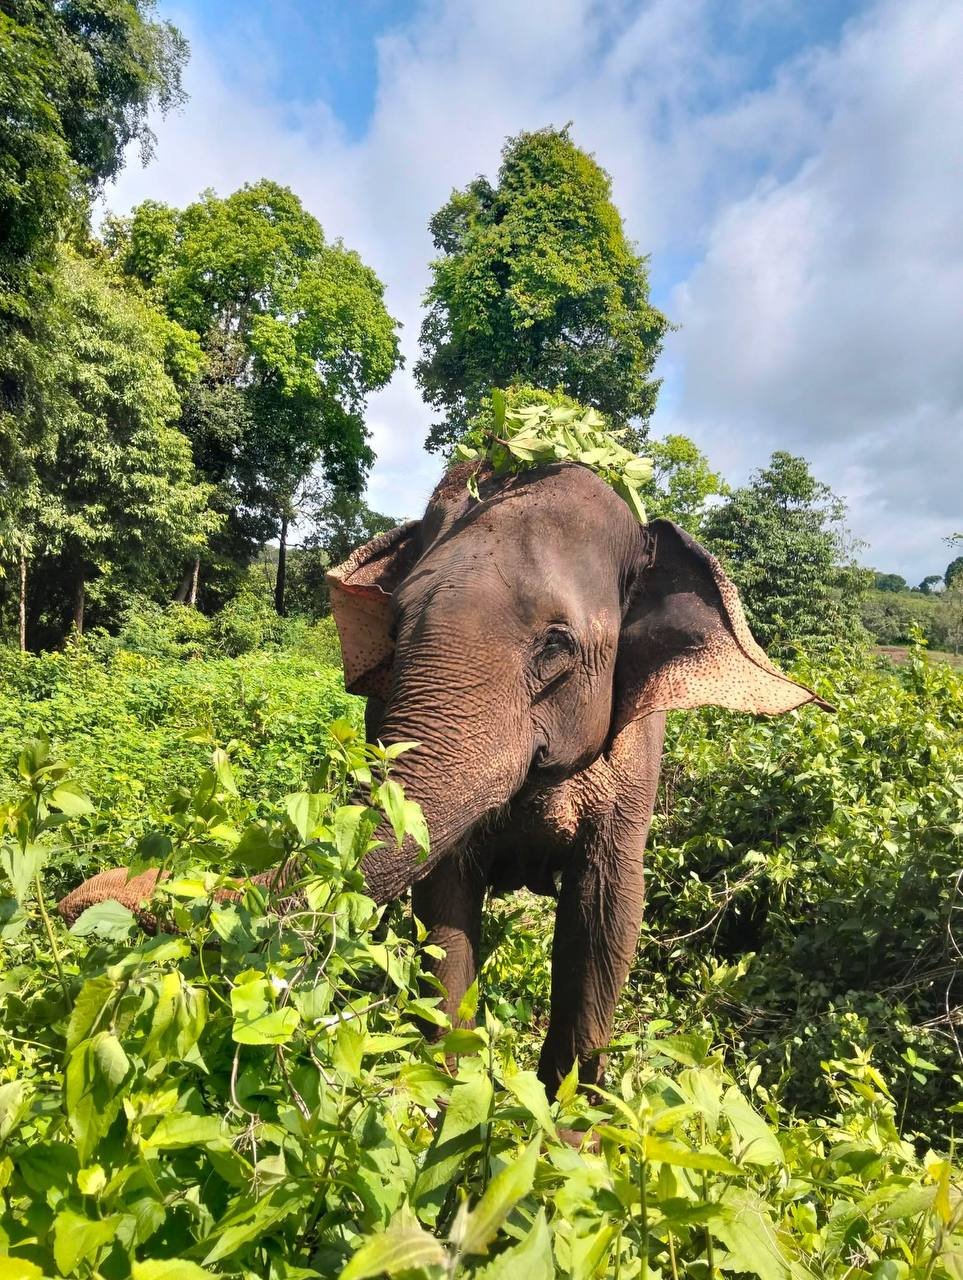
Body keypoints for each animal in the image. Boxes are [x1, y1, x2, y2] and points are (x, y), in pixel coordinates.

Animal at [59, 459, 828, 1093]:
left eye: (557, 645)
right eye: (398, 625)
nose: (86, 898)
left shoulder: (635, 760)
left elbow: (605, 918)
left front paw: (569, 1132)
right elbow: (443, 908)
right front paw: (444, 1100)